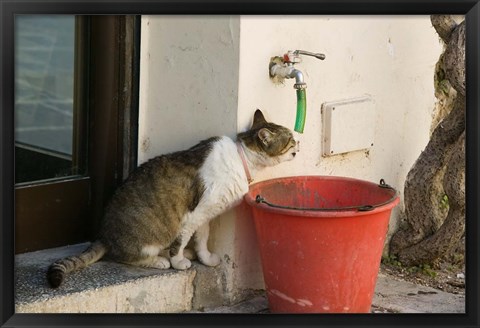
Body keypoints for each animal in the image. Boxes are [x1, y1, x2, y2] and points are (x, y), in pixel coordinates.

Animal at [47, 109, 298, 288]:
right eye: (290, 139)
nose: (300, 140)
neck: (241, 159)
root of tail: (102, 235)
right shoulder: (192, 215)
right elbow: (182, 240)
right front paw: (179, 262)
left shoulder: (205, 214)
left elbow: (202, 239)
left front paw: (205, 258)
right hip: (146, 238)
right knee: (126, 256)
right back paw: (161, 260)